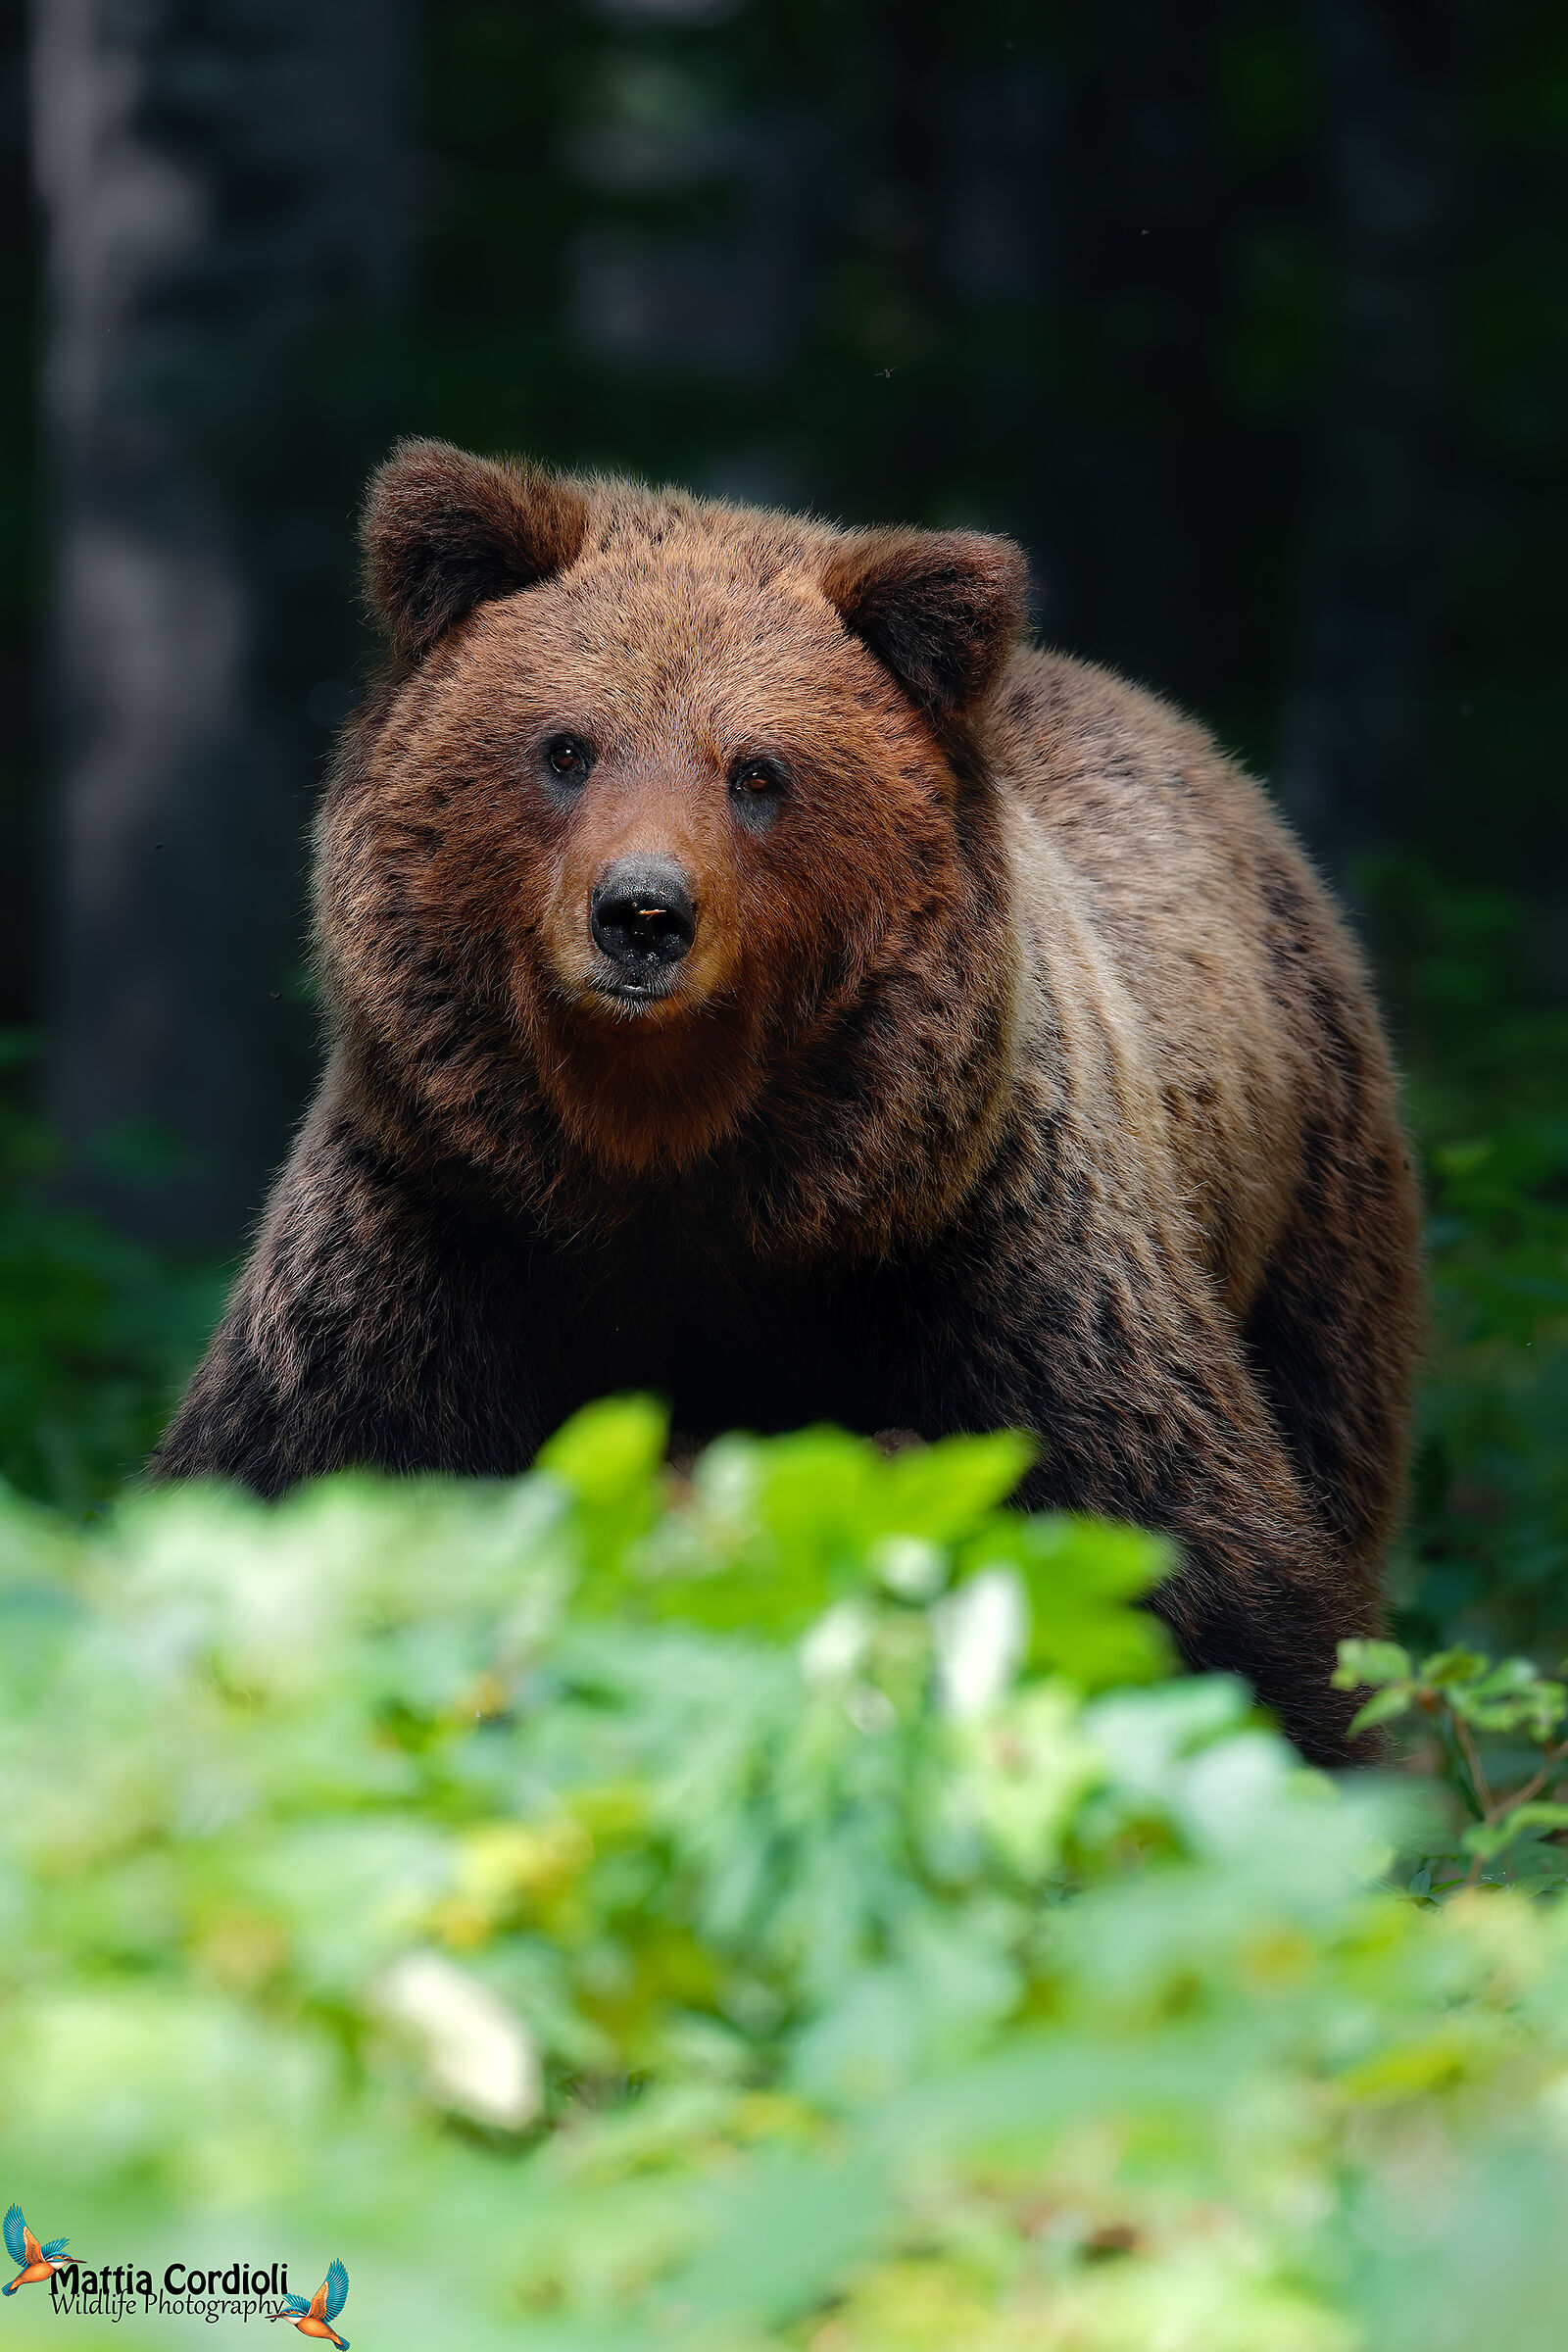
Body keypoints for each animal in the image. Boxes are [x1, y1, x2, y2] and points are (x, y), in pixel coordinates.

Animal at [153, 436, 1423, 1764]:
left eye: (756, 770)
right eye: (566, 747)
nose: (641, 913)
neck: (670, 1162)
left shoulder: (983, 1257)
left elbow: (1200, 1574)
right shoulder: (439, 1234)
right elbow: (280, 1478)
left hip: (1314, 1208)